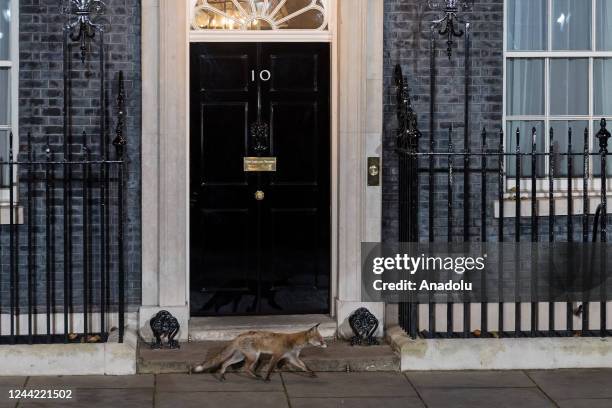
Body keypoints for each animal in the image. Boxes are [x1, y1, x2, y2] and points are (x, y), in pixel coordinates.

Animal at [191, 324, 328, 380]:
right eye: (321, 340)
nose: (326, 345)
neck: (294, 343)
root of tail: (239, 335)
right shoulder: (276, 356)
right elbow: (270, 369)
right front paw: (267, 379)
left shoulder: (292, 358)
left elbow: (305, 367)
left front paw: (312, 373)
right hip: (253, 356)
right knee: (246, 368)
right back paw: (256, 376)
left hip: (240, 357)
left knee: (224, 363)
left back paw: (222, 376)